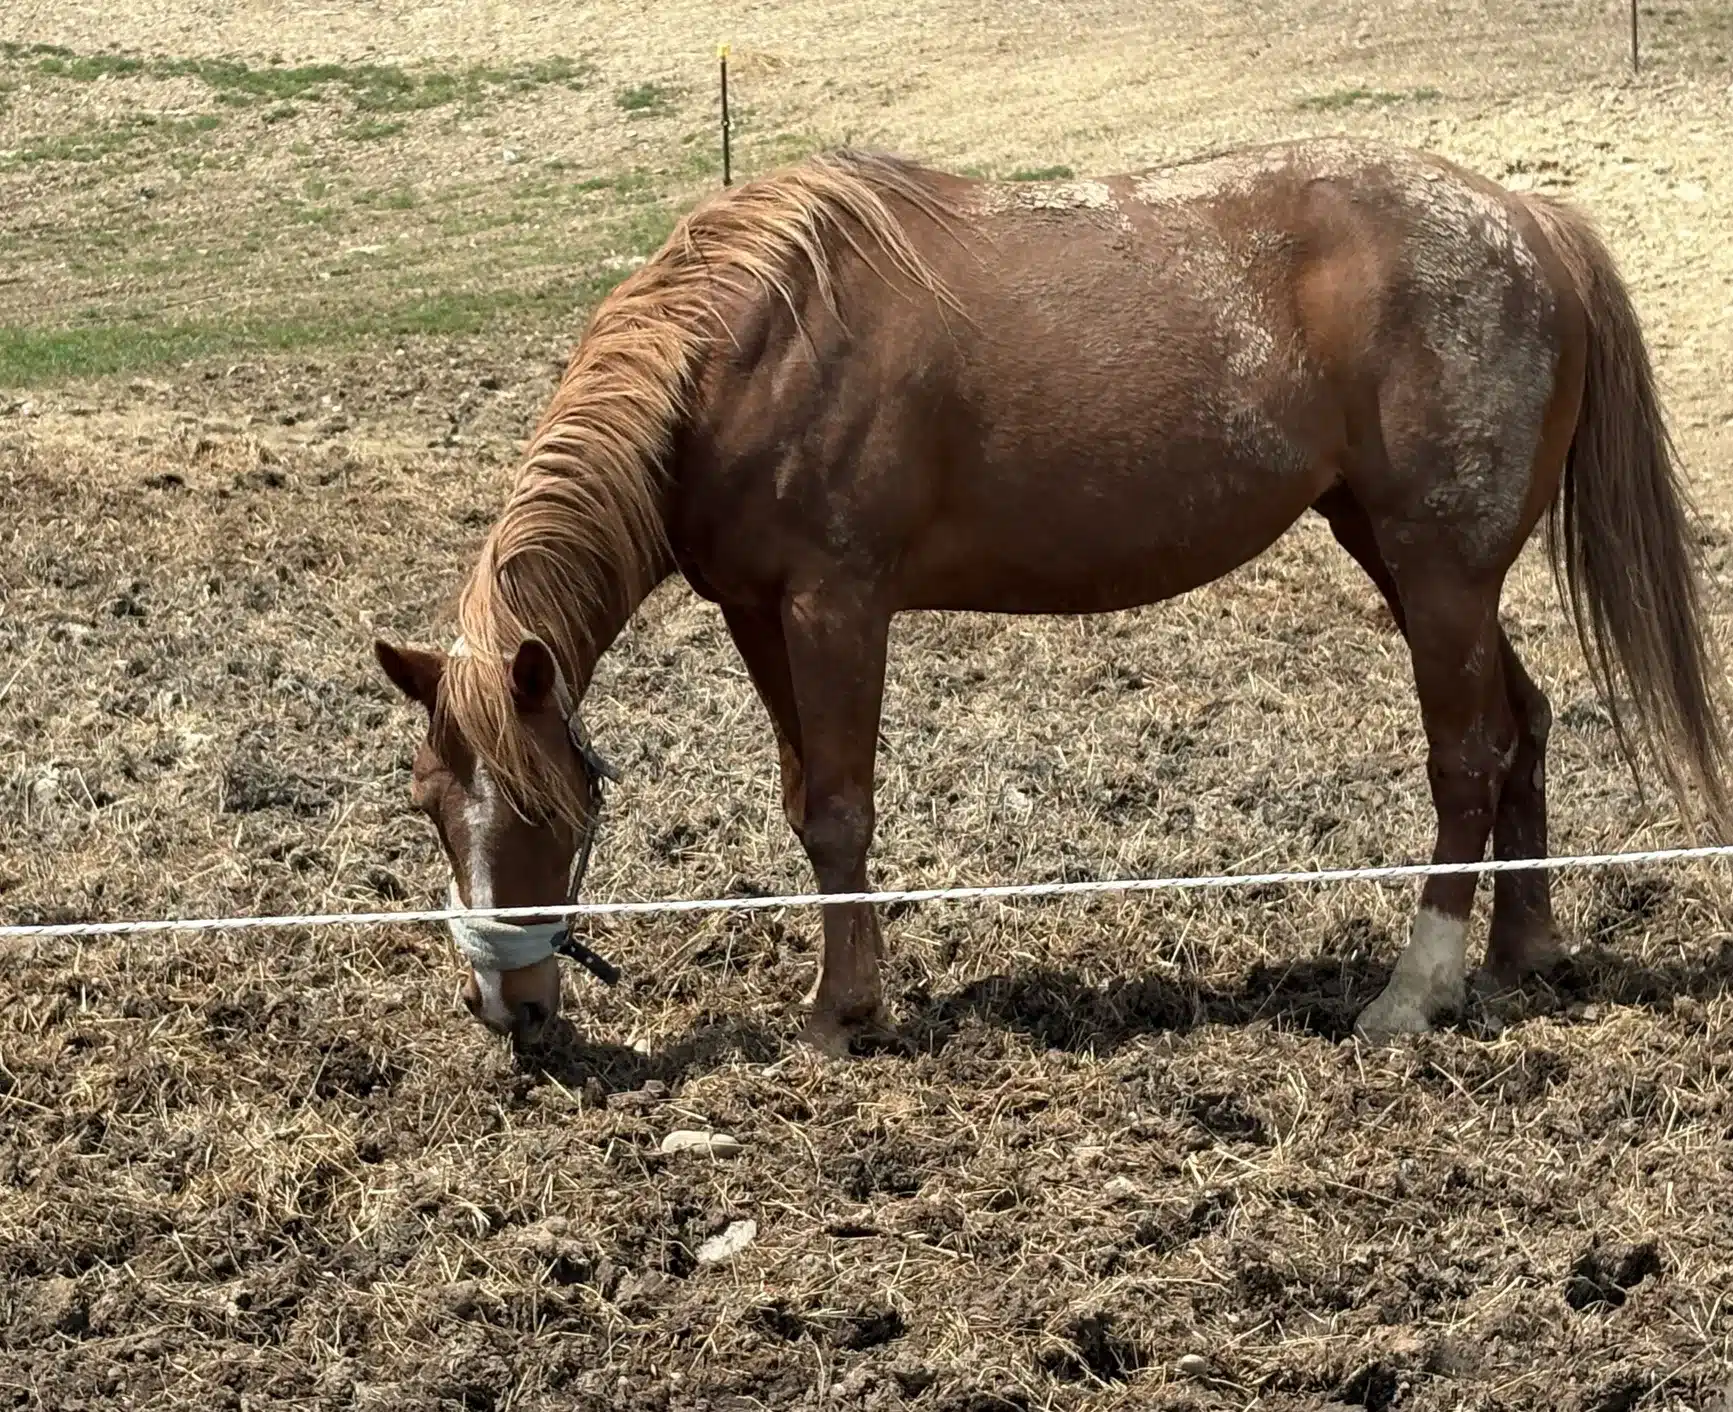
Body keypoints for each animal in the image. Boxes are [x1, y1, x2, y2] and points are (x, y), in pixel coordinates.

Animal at [373, 137, 1728, 1053]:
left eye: (546, 811)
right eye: (429, 802)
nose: (507, 1009)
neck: (742, 355)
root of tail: (1527, 219)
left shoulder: (834, 605)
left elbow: (839, 811)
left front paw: (841, 1012)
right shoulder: (758, 613)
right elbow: (802, 799)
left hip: (1437, 569)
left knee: (1466, 755)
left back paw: (1415, 987)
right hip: (1407, 562)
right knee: (1523, 727)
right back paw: (1517, 954)